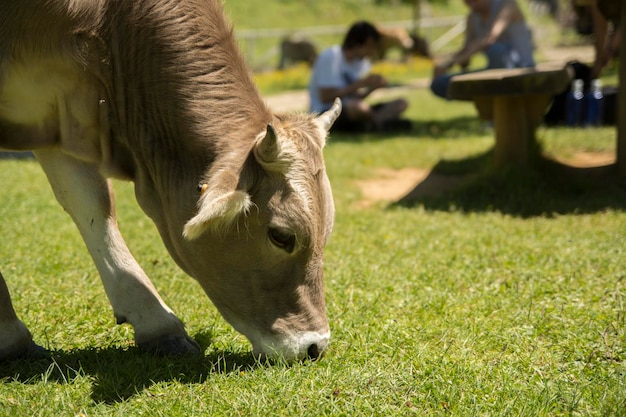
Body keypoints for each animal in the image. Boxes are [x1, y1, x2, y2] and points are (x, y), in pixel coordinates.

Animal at [0, 0, 338, 360]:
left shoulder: (57, 114)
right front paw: (9, 334)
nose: (314, 346)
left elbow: (92, 205)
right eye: (281, 236)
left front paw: (156, 324)